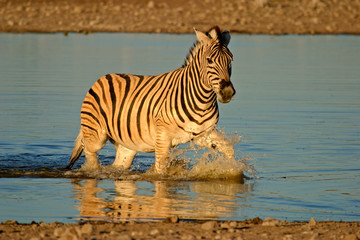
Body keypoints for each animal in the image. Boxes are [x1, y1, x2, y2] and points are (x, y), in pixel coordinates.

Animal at [66, 25, 236, 174]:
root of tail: (103, 77)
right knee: (87, 147)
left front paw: (229, 170)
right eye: (209, 60)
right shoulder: (163, 137)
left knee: (119, 163)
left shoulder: (202, 134)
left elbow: (229, 148)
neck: (201, 101)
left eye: (231, 60)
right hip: (96, 135)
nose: (227, 92)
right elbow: (161, 171)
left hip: (127, 144)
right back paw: (92, 172)